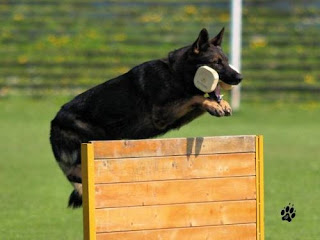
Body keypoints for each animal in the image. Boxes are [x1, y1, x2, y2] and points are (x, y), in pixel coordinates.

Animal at [49, 27, 242, 208]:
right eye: (216, 63)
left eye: (226, 61)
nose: (240, 77)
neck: (176, 73)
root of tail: (54, 122)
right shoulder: (162, 114)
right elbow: (195, 97)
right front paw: (213, 104)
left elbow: (201, 98)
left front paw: (222, 104)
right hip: (94, 140)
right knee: (73, 173)